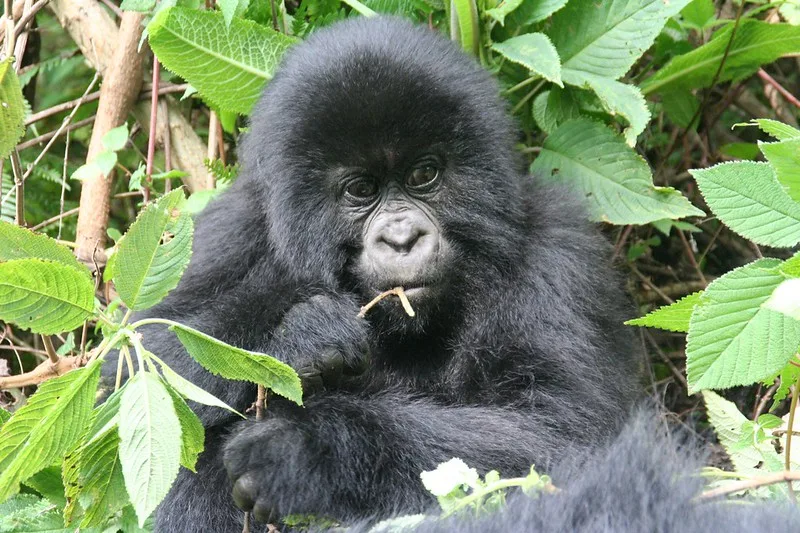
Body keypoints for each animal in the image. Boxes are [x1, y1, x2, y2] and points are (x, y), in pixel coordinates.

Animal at [147, 15, 640, 528]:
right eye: (361, 189)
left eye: (424, 175)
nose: (401, 239)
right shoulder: (233, 230)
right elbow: (145, 361)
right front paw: (296, 337)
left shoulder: (558, 250)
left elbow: (558, 431)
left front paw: (309, 451)